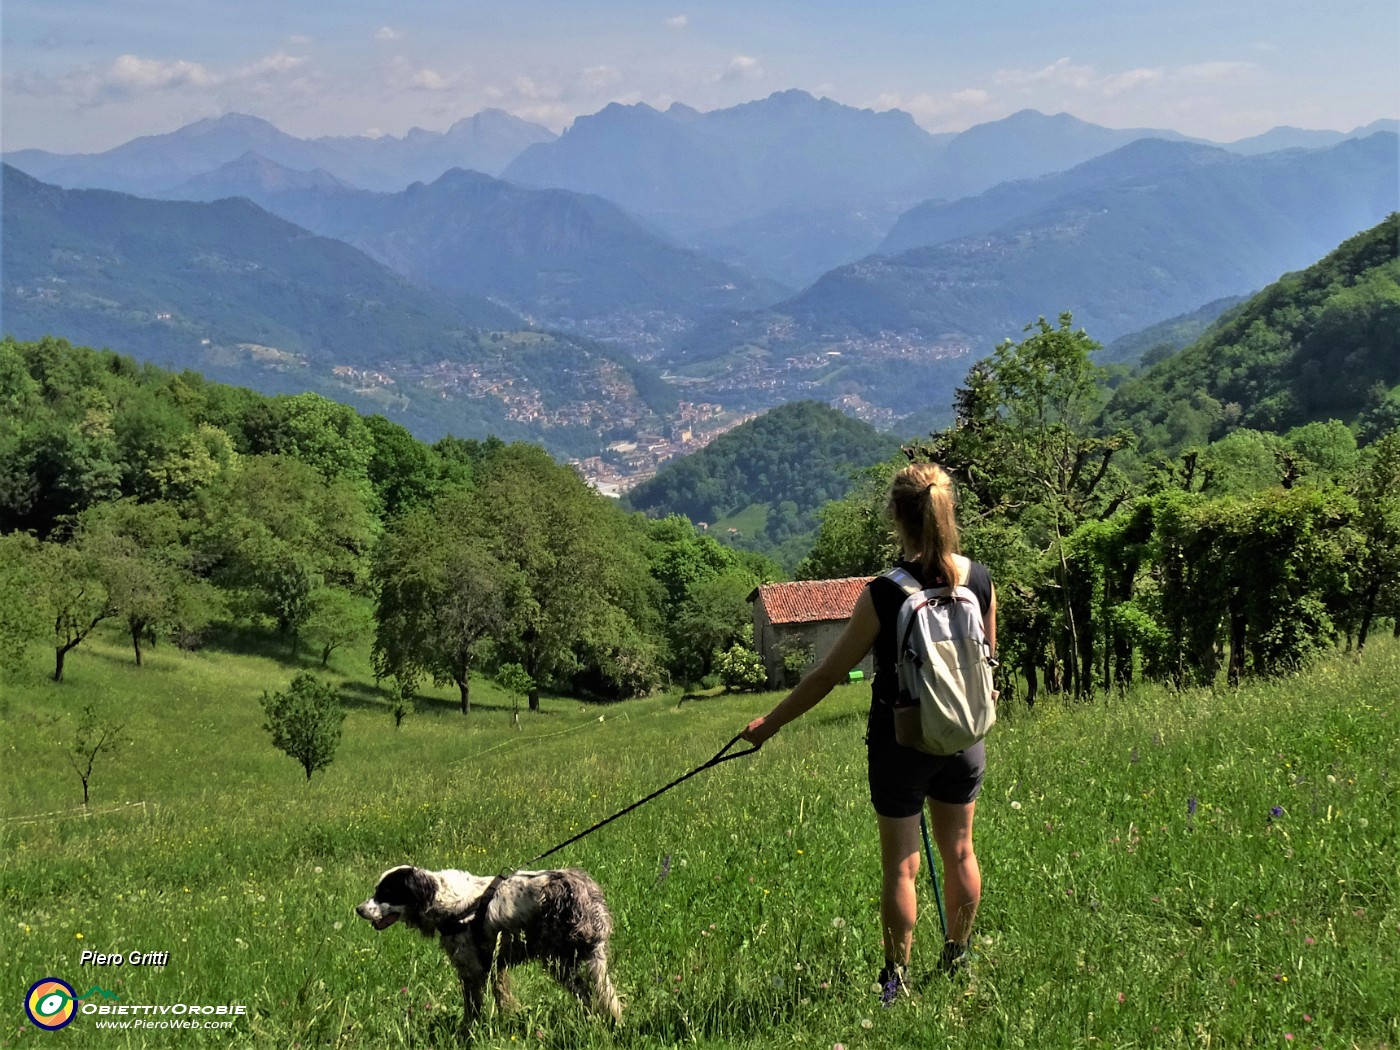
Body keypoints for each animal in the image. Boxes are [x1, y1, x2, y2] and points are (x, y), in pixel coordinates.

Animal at [358, 868, 621, 1030]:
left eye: (384, 892)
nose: (358, 909)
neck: (442, 899)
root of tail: (583, 890)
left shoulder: (471, 970)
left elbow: (472, 1009)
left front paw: (469, 1032)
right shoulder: (495, 965)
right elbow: (503, 998)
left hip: (560, 962)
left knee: (589, 996)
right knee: (607, 997)